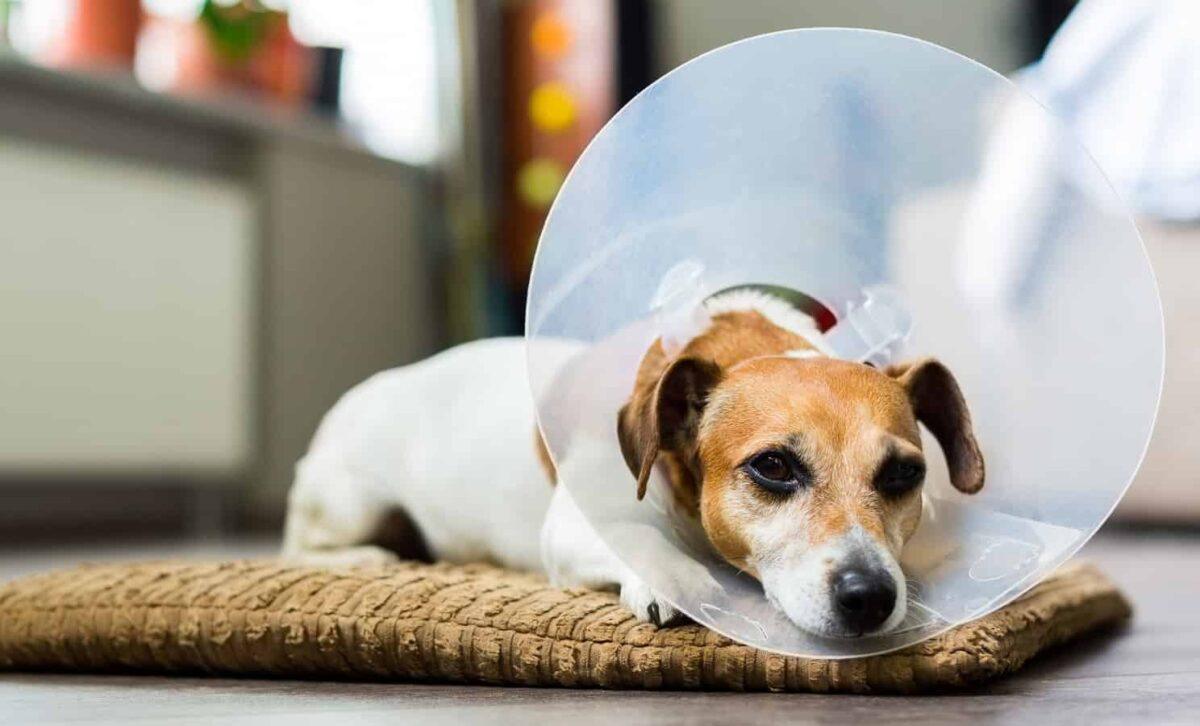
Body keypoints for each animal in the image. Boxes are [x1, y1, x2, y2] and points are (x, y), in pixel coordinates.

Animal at [282, 289, 984, 637]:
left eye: (904, 474)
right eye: (774, 467)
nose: (871, 596)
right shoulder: (575, 526)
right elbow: (641, 543)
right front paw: (677, 582)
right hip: (349, 501)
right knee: (301, 547)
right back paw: (372, 558)